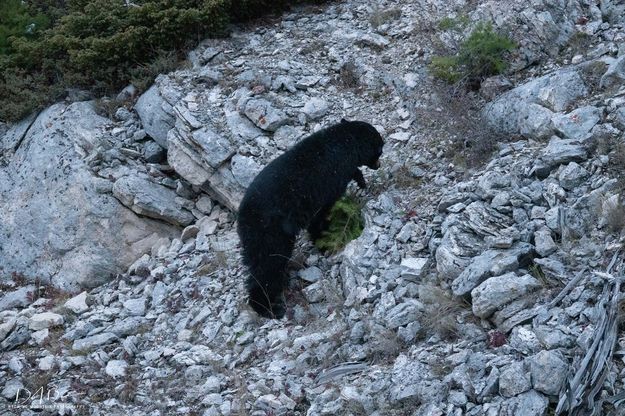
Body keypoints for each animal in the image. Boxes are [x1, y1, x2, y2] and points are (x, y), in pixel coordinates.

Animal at [235, 118, 382, 320]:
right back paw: (269, 308)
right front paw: (324, 242)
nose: (379, 165)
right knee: (268, 264)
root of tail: (242, 218)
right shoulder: (327, 181)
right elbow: (322, 213)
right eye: (380, 148)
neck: (343, 142)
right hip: (269, 232)